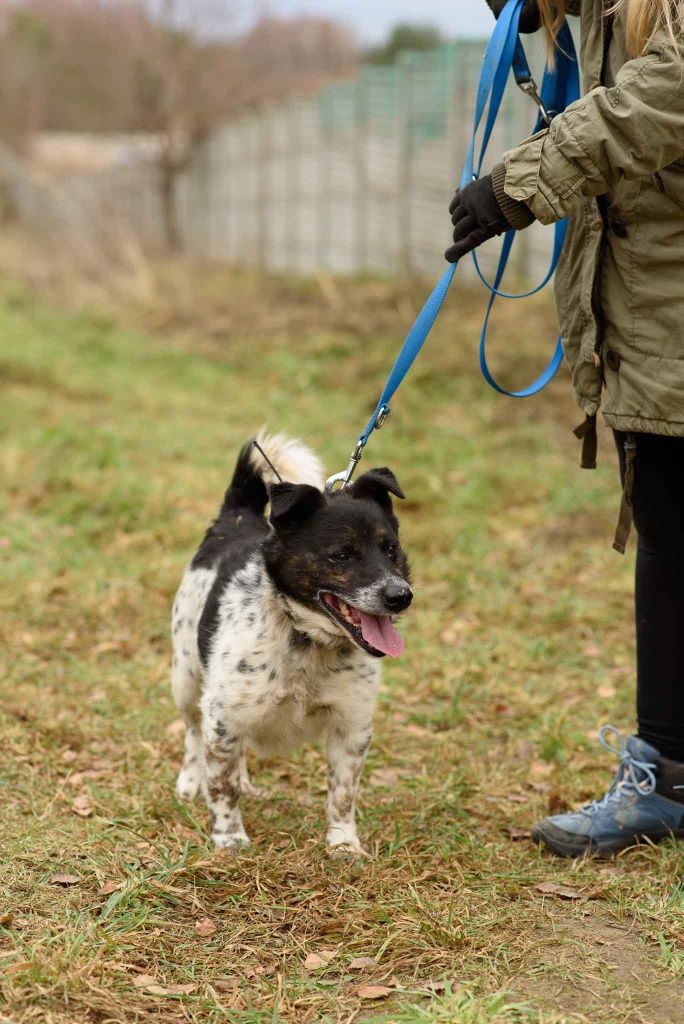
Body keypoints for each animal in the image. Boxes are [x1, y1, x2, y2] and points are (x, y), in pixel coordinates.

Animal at [174, 432, 413, 856]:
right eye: (342, 554)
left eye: (390, 549)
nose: (401, 597)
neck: (307, 640)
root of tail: (238, 514)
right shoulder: (223, 718)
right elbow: (222, 787)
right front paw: (229, 838)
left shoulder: (352, 727)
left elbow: (343, 793)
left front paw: (343, 844)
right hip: (186, 679)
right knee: (192, 732)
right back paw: (190, 780)